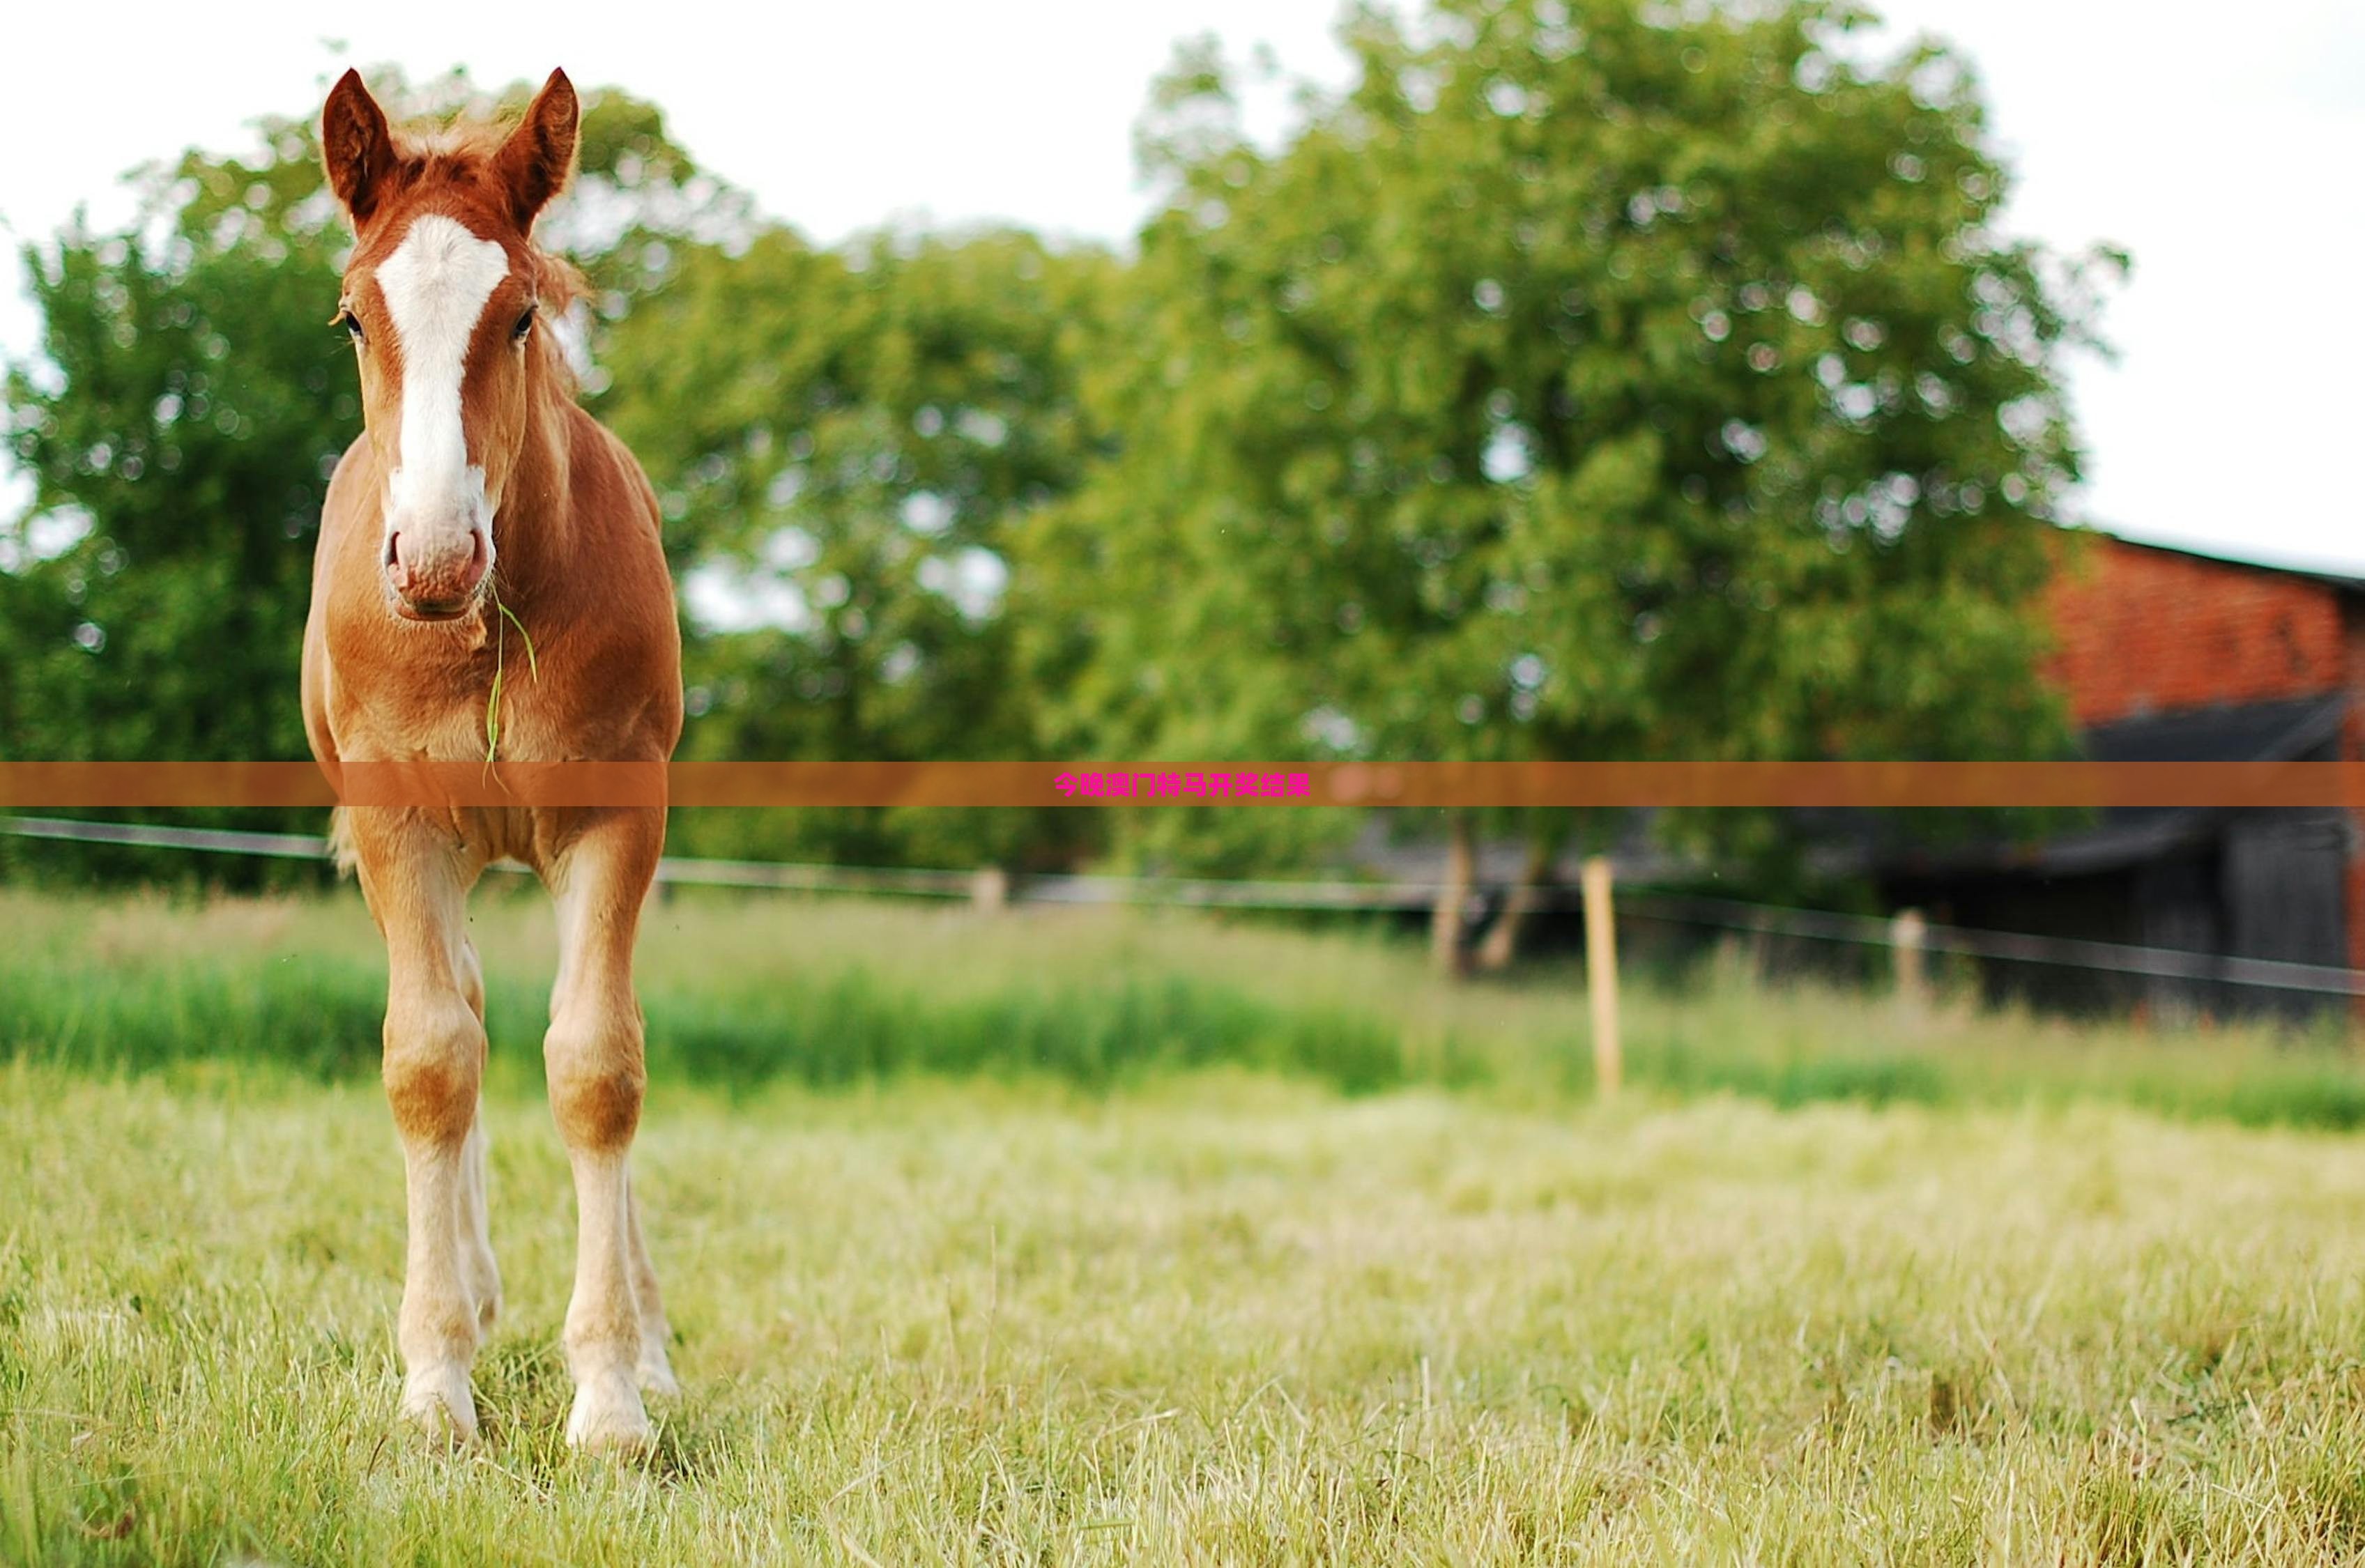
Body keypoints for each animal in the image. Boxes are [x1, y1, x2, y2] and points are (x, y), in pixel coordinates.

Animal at [300, 67, 681, 1456]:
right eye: (352, 318)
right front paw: (434, 1386)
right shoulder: (399, 826)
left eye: (519, 315)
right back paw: (465, 1290)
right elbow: (428, 1063)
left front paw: (614, 1397)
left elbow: (598, 1065)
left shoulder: (618, 821)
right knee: (453, 1011)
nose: (431, 557)